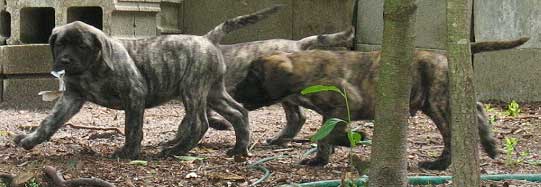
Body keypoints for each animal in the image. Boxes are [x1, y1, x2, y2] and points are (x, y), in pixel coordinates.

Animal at [12, 6, 282, 159]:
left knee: (199, 123)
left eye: (81, 46)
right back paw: (239, 150)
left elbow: (132, 127)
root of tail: (207, 39)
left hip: (192, 90)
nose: (65, 61)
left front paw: (128, 153)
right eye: (60, 44)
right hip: (213, 92)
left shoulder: (134, 94)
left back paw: (176, 151)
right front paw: (30, 140)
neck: (90, 69)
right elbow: (50, 122)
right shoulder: (71, 97)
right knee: (238, 112)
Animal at [233, 37, 528, 169]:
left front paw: (354, 139)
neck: (305, 71)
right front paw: (319, 160)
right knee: (476, 109)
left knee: (453, 134)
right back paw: (490, 146)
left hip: (437, 102)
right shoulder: (332, 112)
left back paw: (439, 165)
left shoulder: (346, 103)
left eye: (251, 79)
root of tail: (444, 55)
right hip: (439, 100)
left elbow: (329, 134)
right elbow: (325, 136)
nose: (234, 93)